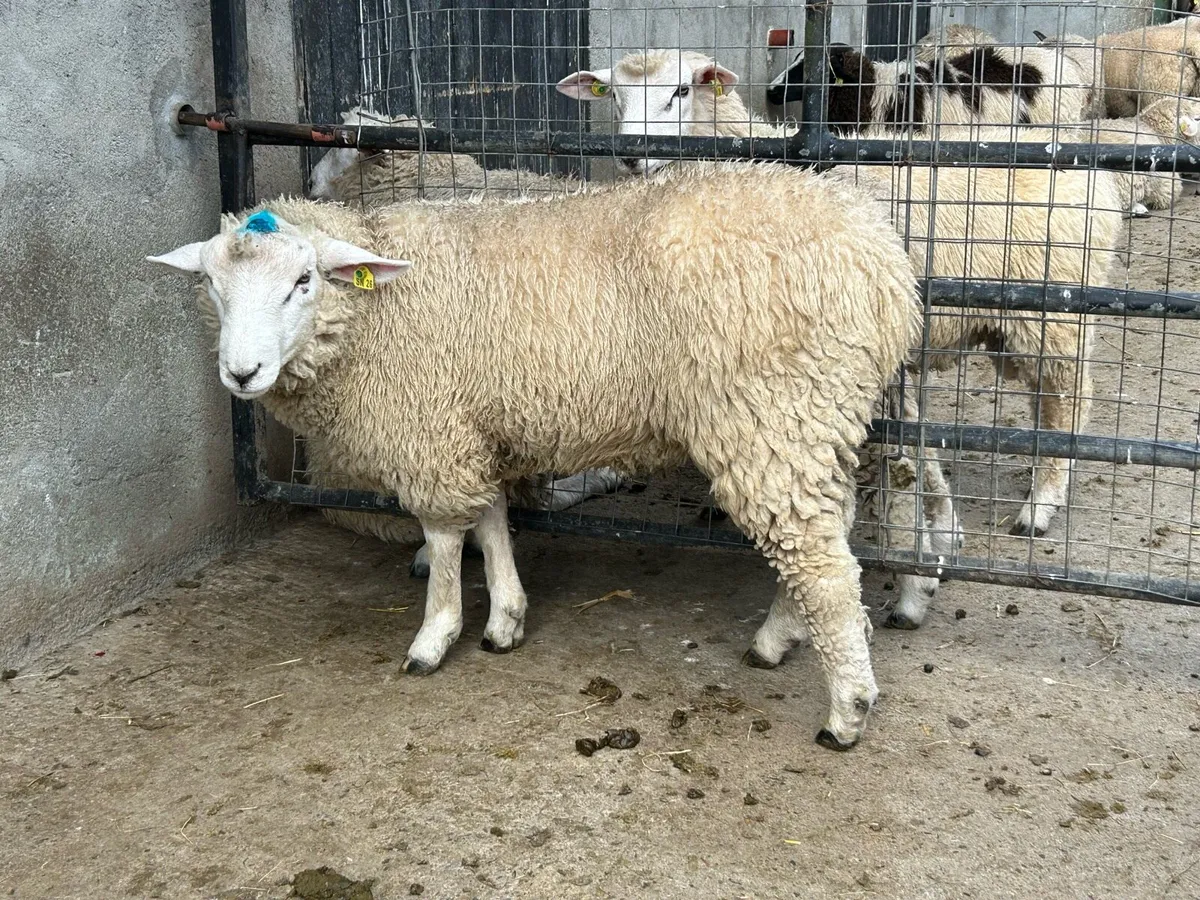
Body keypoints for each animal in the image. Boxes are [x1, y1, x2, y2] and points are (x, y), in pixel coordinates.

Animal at [147, 164, 920, 750]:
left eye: (303, 282)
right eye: (211, 283)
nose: (241, 373)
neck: (376, 311)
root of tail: (887, 265)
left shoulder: (430, 428)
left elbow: (445, 537)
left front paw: (436, 635)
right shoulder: (472, 422)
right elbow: (490, 521)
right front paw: (506, 619)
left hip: (774, 415)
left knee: (824, 564)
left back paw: (846, 710)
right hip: (817, 416)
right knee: (829, 532)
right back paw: (780, 636)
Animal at [563, 52, 1124, 629]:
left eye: (680, 90)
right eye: (613, 94)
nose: (631, 155)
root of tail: (1097, 177)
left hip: (1055, 319)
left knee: (1070, 404)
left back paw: (1042, 504)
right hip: (1016, 327)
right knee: (1045, 406)